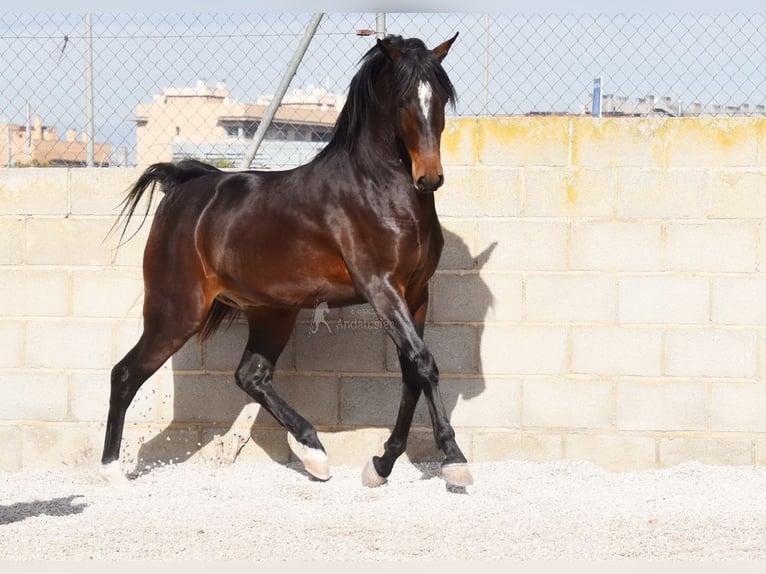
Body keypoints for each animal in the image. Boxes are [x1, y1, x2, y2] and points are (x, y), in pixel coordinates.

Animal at [102, 32, 474, 490]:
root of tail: (181, 189)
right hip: (176, 314)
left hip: (271, 314)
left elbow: (412, 373)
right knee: (124, 374)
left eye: (439, 95)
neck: (377, 190)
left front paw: (381, 464)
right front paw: (454, 459)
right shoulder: (382, 289)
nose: (429, 178)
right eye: (404, 98)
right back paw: (111, 471)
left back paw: (314, 453)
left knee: (251, 376)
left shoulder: (417, 294)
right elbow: (423, 364)